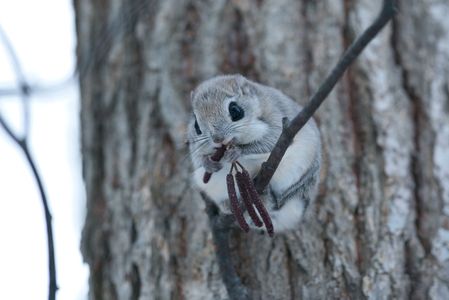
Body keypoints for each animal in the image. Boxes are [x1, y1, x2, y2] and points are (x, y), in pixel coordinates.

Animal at [187, 74, 320, 232]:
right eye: (196, 125)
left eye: (235, 110)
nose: (217, 139)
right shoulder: (195, 148)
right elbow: (197, 159)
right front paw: (208, 163)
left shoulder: (278, 119)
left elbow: (270, 140)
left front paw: (237, 152)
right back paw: (230, 205)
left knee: (281, 201)